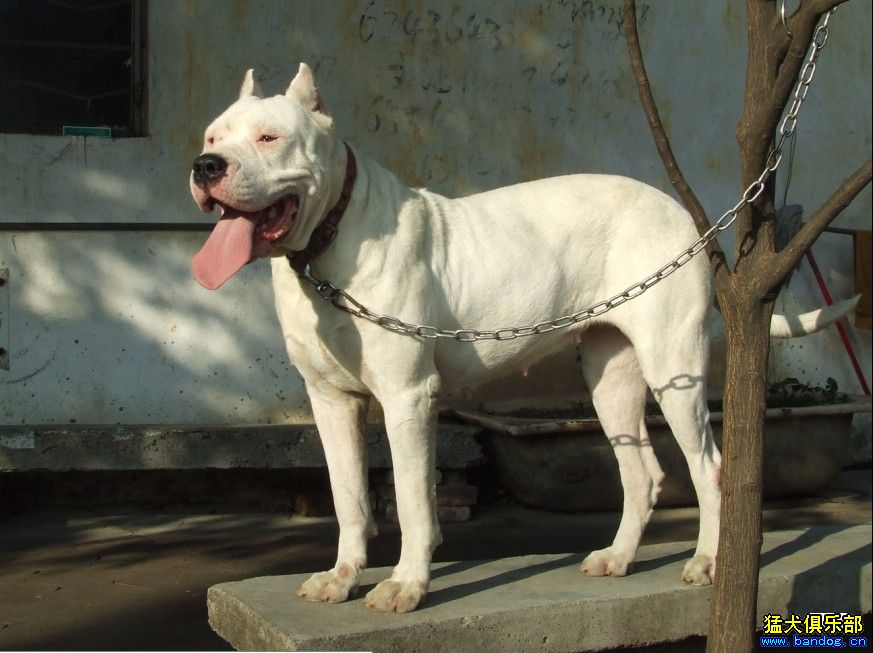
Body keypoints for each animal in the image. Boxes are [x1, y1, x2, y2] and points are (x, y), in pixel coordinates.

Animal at [189, 66, 844, 612]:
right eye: (213, 137)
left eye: (269, 138)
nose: (205, 166)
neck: (327, 248)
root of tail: (687, 218)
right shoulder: (331, 402)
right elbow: (347, 495)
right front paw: (343, 576)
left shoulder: (408, 398)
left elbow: (412, 499)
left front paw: (406, 585)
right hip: (611, 378)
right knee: (643, 473)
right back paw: (617, 557)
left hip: (672, 367)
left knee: (707, 468)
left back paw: (707, 561)